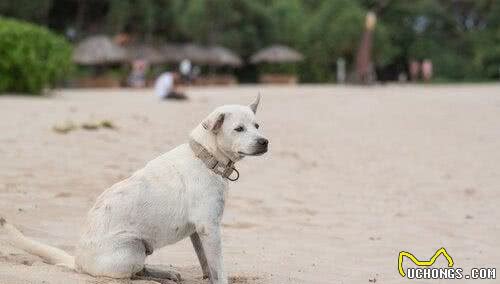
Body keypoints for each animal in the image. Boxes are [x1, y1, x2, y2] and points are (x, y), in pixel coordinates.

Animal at [0, 95, 270, 284]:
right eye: (238, 129)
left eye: (257, 125)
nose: (264, 142)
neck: (206, 157)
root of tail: (77, 262)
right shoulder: (210, 227)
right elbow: (219, 266)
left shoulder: (198, 230)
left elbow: (206, 263)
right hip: (132, 248)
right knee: (132, 275)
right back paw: (158, 277)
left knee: (140, 271)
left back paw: (165, 274)